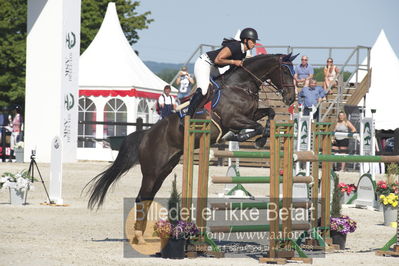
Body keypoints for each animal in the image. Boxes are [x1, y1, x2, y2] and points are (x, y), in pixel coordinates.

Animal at [88, 52, 300, 243]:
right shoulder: (233, 119)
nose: (291, 99)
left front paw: (260, 138)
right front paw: (247, 137)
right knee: (141, 197)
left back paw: (144, 233)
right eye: (285, 71)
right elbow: (255, 126)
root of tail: (146, 135)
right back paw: (139, 235)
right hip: (151, 172)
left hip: (163, 171)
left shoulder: (252, 113)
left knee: (147, 197)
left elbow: (269, 113)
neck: (241, 86)